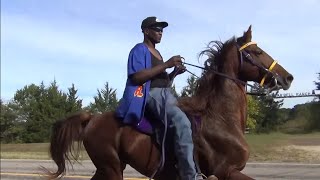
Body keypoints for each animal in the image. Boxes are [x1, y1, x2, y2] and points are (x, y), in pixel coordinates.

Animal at [47, 26, 292, 179]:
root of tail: (92, 119)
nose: (287, 77)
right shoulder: (226, 171)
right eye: (257, 52)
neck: (221, 118)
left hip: (108, 168)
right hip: (111, 168)